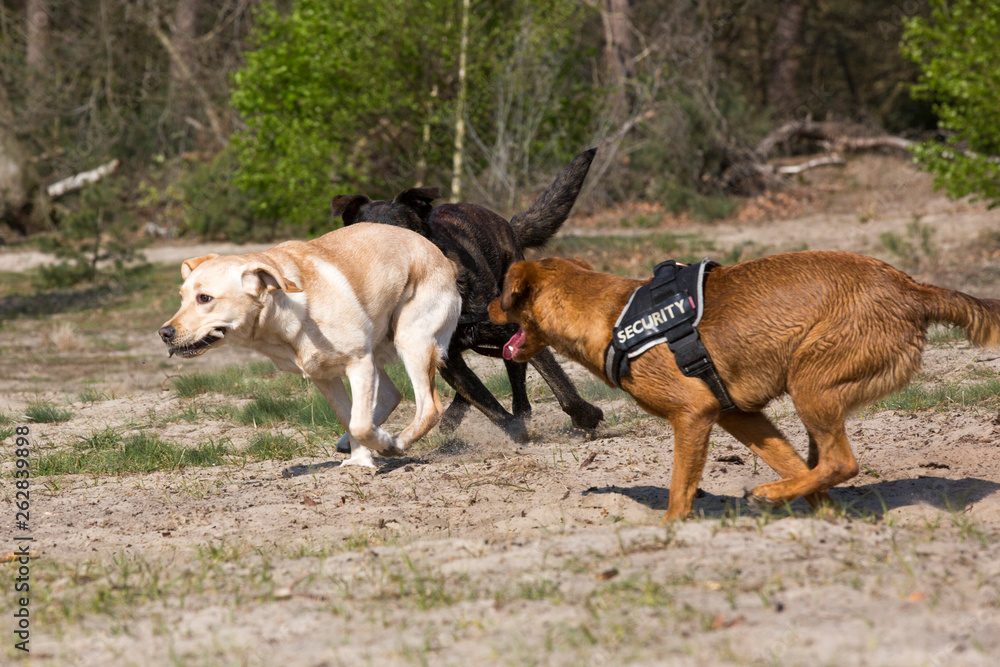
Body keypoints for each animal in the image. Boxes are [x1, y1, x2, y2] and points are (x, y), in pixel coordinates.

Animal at [159, 222, 460, 468]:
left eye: (204, 298)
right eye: (182, 297)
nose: (164, 332)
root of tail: (443, 257)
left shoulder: (358, 362)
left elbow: (360, 424)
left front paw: (382, 444)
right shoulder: (323, 376)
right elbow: (349, 417)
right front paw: (360, 461)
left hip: (411, 341)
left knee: (429, 408)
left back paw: (396, 442)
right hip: (380, 350)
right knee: (391, 395)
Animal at [332, 151, 604, 444]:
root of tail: (507, 224)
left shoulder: (515, 331)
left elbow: (559, 383)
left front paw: (585, 416)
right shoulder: (447, 360)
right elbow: (488, 405)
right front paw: (516, 431)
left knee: (518, 384)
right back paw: (457, 416)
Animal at [488, 252, 1000, 520]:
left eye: (500, 294)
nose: (484, 309)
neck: (611, 317)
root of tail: (912, 289)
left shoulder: (693, 415)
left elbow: (679, 490)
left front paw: (670, 528)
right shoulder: (739, 415)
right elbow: (790, 462)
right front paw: (822, 513)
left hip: (809, 381)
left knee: (842, 461)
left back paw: (770, 495)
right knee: (822, 463)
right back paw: (790, 497)